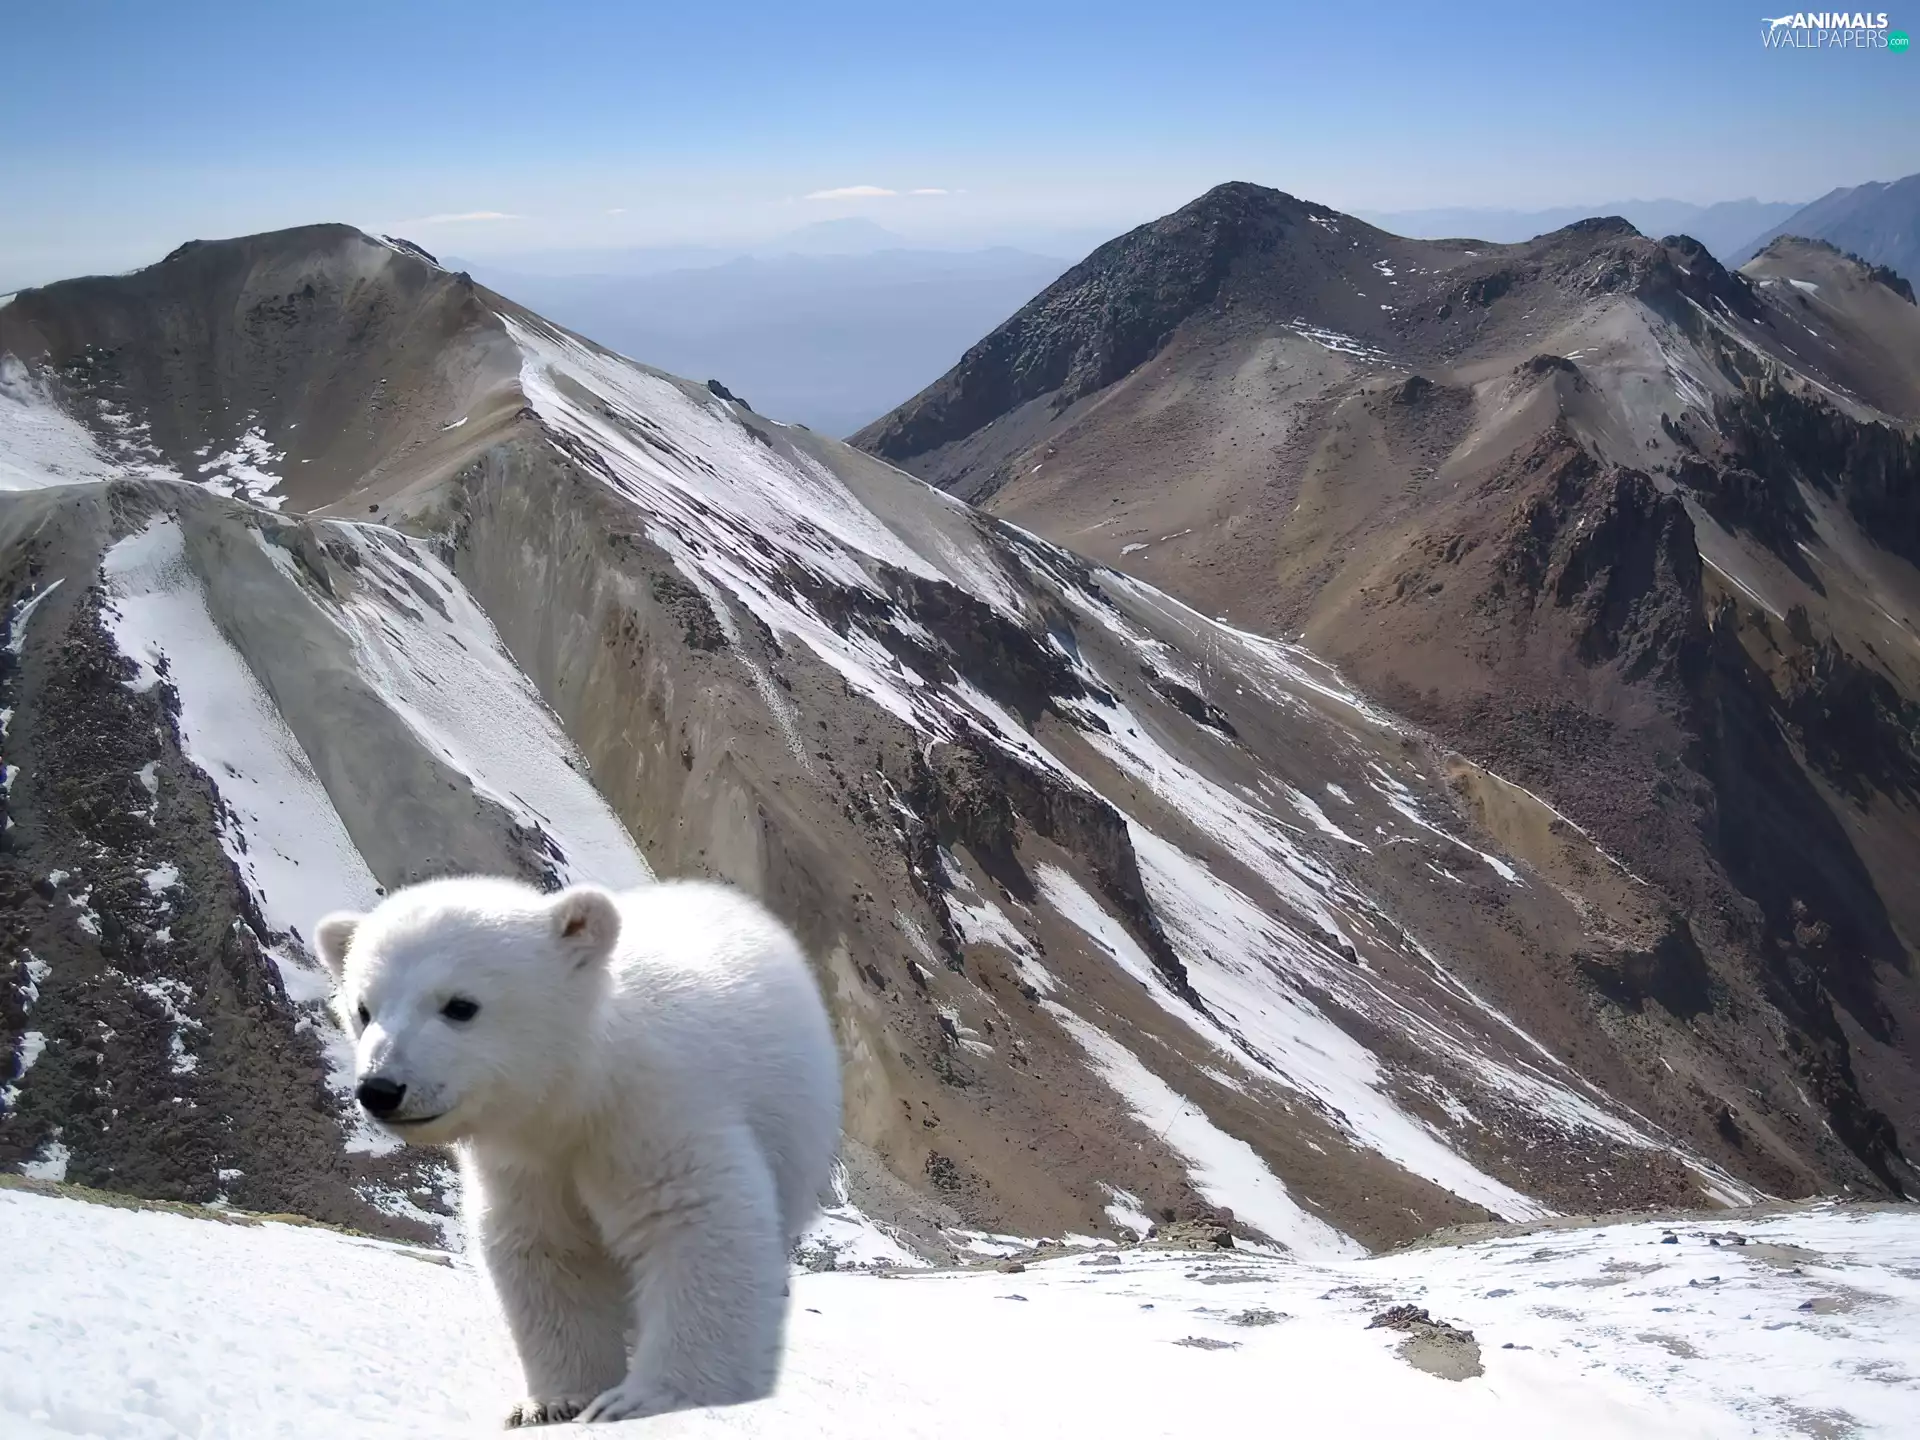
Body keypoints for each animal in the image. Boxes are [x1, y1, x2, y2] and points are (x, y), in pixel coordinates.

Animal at [313, 875, 842, 1427]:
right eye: (363, 1009)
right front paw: (555, 1402)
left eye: (460, 1005)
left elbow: (696, 1225)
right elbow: (545, 1251)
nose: (380, 1089)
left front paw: (651, 1399)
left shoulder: (656, 1111)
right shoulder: (522, 1164)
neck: (579, 1092)